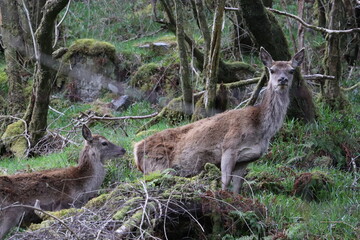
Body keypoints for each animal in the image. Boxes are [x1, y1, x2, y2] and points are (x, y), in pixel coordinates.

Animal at [134, 47, 306, 192]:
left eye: (291, 70)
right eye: (272, 70)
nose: (282, 80)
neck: (261, 130)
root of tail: (136, 150)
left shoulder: (246, 159)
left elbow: (237, 188)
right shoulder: (229, 147)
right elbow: (225, 183)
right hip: (156, 165)